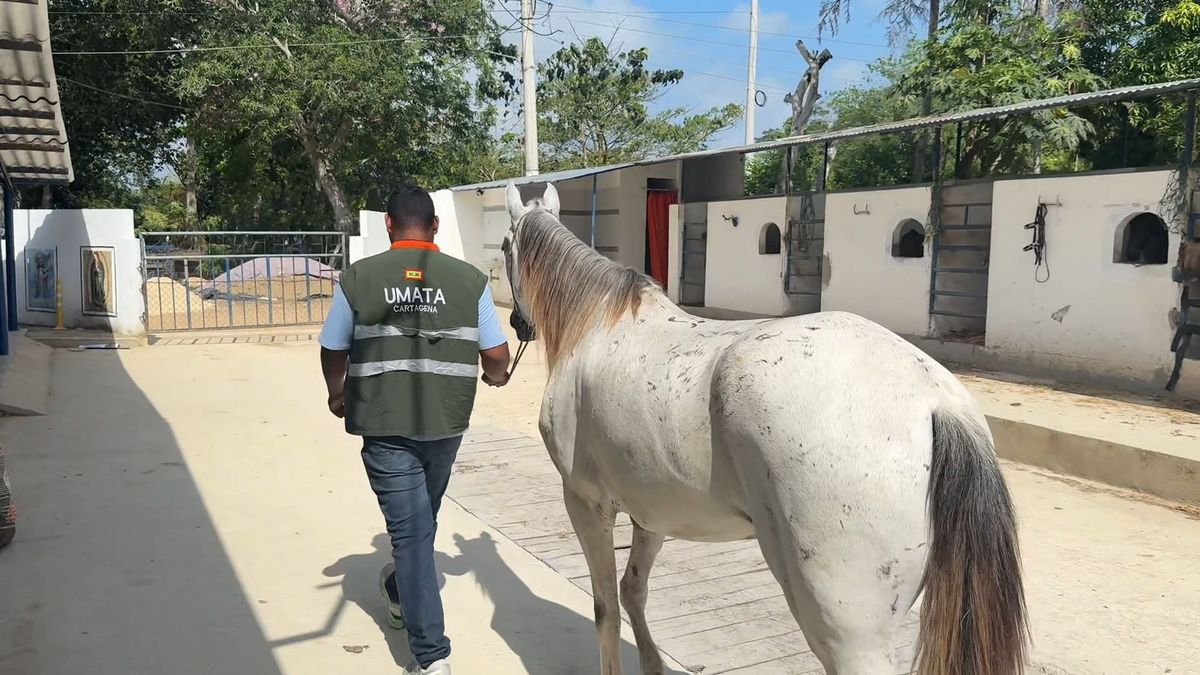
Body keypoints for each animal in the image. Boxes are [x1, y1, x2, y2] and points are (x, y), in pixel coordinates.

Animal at [501, 182, 1028, 675]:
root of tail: (934, 398)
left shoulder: (587, 504)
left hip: (847, 628)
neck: (597, 325)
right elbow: (633, 591)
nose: (517, 325)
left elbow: (605, 610)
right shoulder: (649, 510)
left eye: (505, 247)